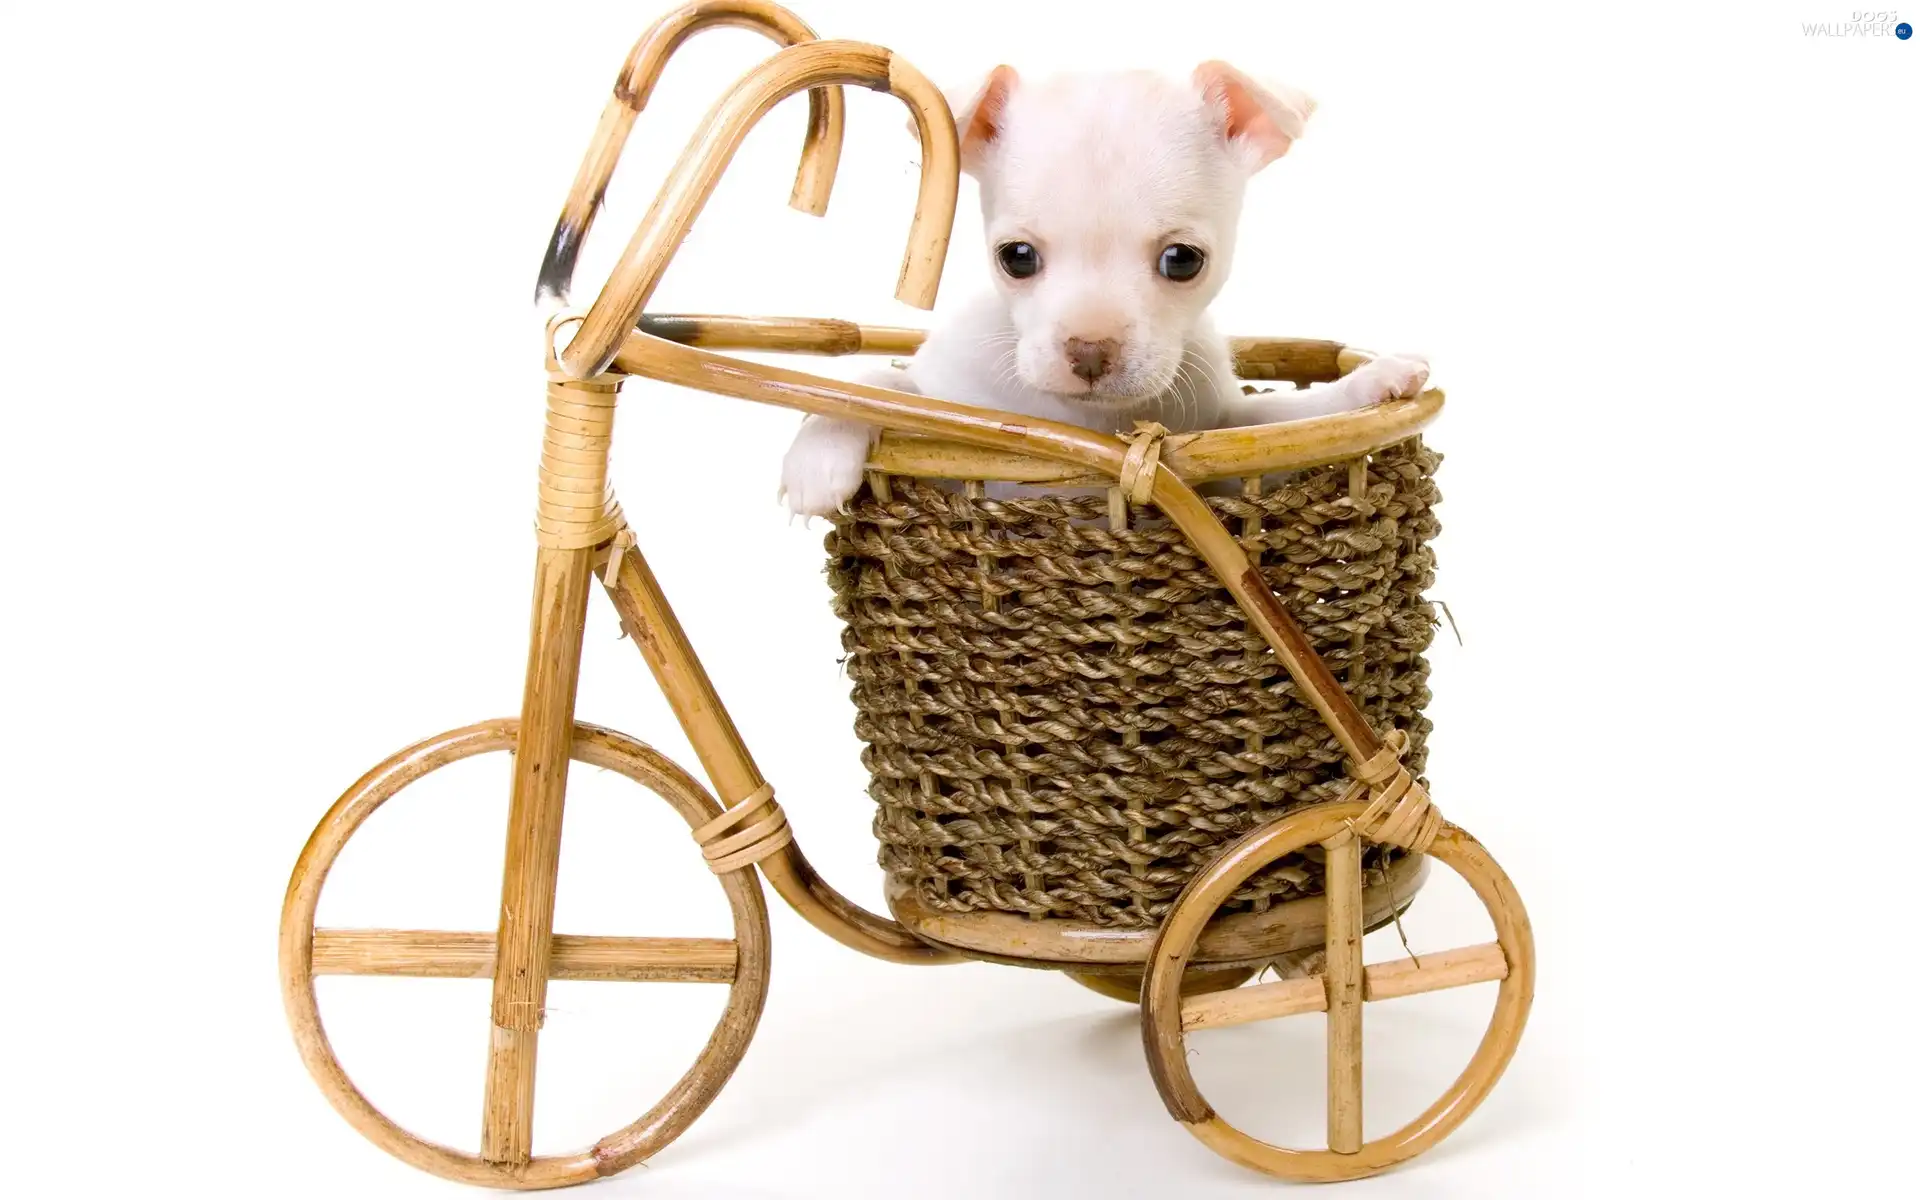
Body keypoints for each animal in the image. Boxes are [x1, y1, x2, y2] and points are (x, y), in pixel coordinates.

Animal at [775, 64, 1428, 514]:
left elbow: (1285, 420)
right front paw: (818, 452)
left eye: (1182, 261)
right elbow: (879, 383)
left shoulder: (1227, 437)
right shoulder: (945, 403)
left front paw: (1374, 379)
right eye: (1016, 258)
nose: (1089, 351)